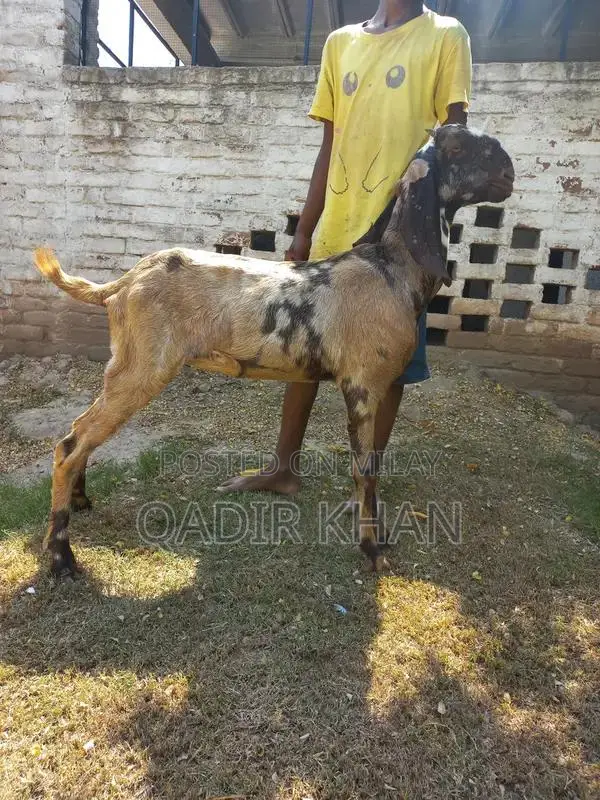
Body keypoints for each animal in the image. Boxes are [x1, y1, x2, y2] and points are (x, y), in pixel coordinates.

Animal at [33, 124, 514, 578]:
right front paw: (372, 551)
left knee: (79, 433)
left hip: (128, 363)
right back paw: (61, 557)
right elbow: (366, 469)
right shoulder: (362, 384)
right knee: (72, 443)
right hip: (143, 365)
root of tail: (125, 281)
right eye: (456, 146)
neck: (391, 268)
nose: (509, 173)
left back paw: (80, 501)